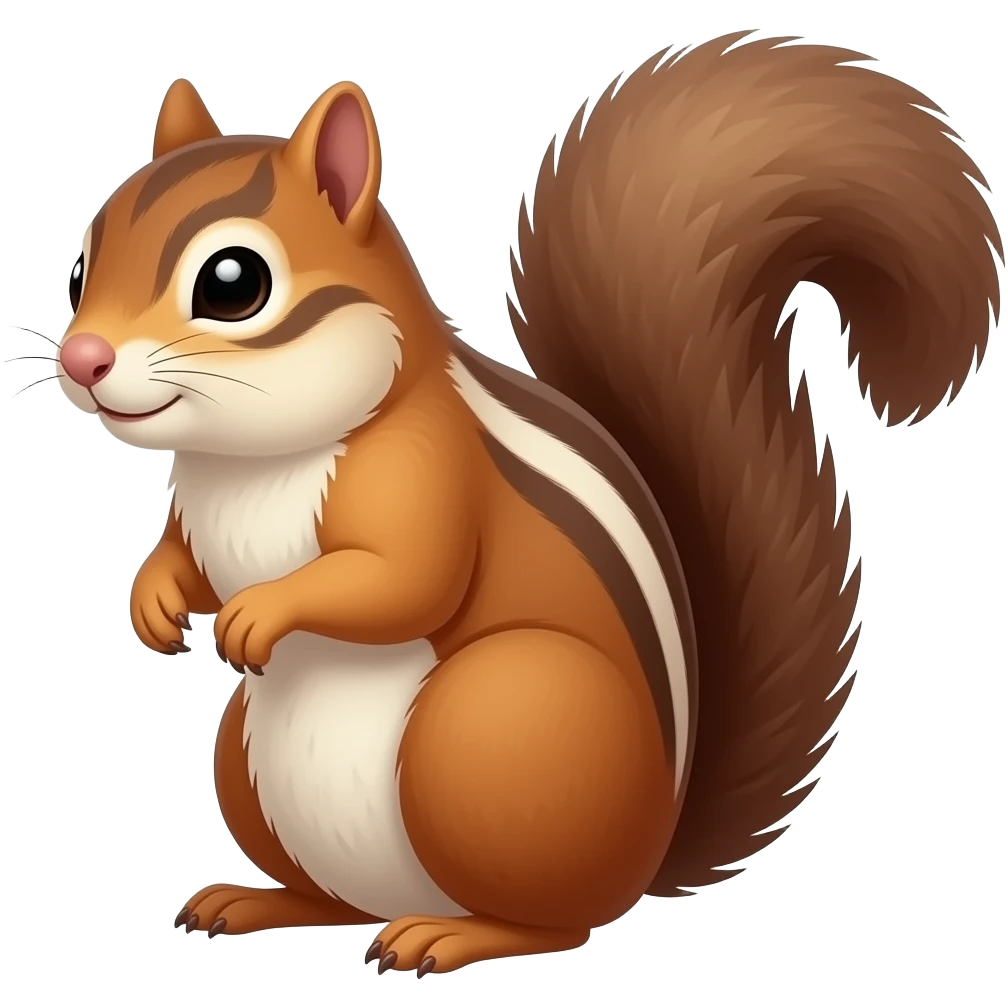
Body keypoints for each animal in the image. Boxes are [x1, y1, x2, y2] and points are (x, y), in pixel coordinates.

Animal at [56, 34, 999, 971]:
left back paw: (449, 934)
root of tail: (650, 853)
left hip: (494, 722)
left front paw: (260, 612)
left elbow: (405, 580)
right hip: (250, 762)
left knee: (555, 923)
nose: (82, 358)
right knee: (334, 901)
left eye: (232, 282)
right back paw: (257, 900)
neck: (248, 461)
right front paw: (154, 601)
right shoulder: (198, 514)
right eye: (81, 266)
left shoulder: (423, 474)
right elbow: (184, 558)